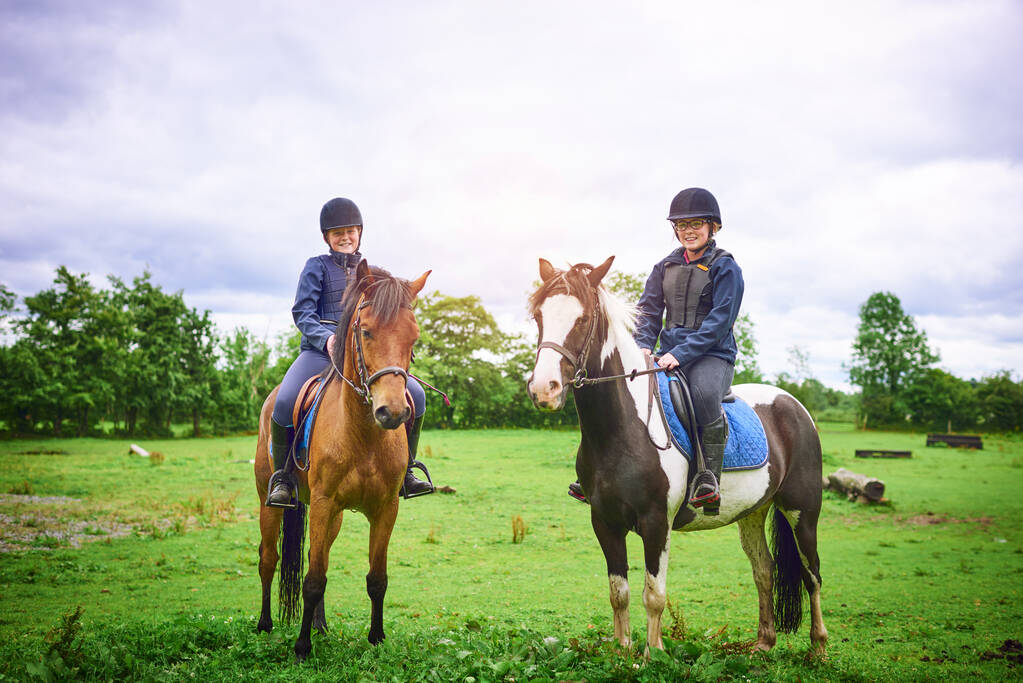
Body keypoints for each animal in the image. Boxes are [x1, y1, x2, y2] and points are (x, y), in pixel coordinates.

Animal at [257, 261, 433, 662]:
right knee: (268, 558)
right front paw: (302, 648)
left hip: (334, 516)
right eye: (365, 331)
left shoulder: (385, 509)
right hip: (268, 502)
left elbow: (376, 578)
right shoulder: (323, 504)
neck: (363, 434)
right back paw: (264, 625)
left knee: (313, 555)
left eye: (413, 336)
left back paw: (319, 626)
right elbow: (313, 579)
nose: (392, 412)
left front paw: (377, 638)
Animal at [527, 257, 830, 654]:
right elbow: (619, 592)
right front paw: (622, 650)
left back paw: (819, 648)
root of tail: (794, 405)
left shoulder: (656, 523)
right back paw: (763, 644)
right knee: (764, 571)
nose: (543, 390)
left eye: (582, 319)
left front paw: (652, 654)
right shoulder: (604, 522)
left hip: (802, 511)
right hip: (753, 512)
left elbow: (654, 595)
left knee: (812, 575)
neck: (625, 428)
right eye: (539, 317)